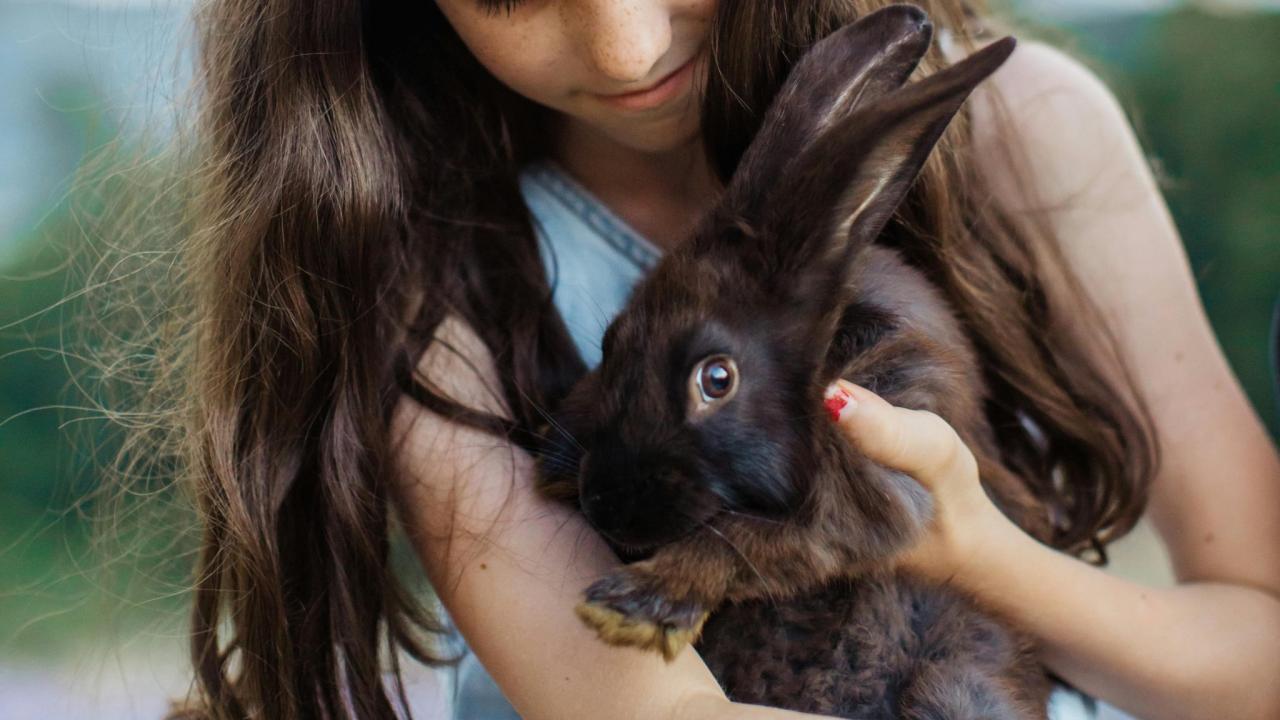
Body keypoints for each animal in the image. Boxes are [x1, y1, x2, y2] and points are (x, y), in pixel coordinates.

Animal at [535, 5, 1054, 718]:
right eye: (611, 343)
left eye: (716, 380)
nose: (604, 504)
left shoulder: (872, 489)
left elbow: (744, 539)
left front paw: (634, 608)